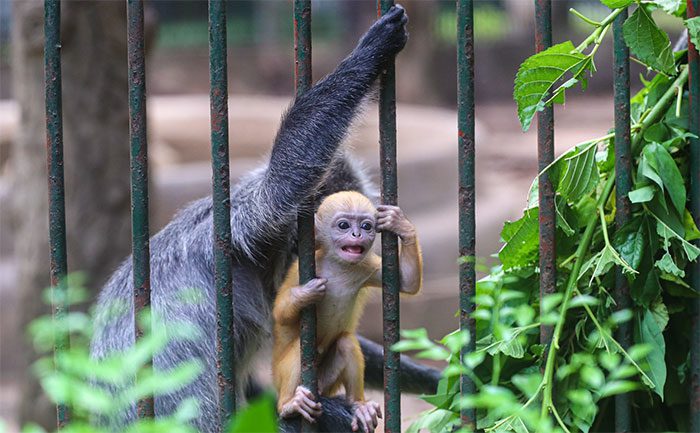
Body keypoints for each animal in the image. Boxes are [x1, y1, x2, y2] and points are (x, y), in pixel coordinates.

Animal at [270, 191, 422, 430]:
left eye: (367, 226)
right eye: (343, 225)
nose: (356, 234)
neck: (338, 266)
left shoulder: (367, 265)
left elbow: (407, 282)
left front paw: (400, 224)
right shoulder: (301, 269)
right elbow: (279, 313)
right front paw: (305, 294)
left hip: (325, 384)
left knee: (346, 343)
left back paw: (359, 405)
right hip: (283, 376)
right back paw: (289, 405)